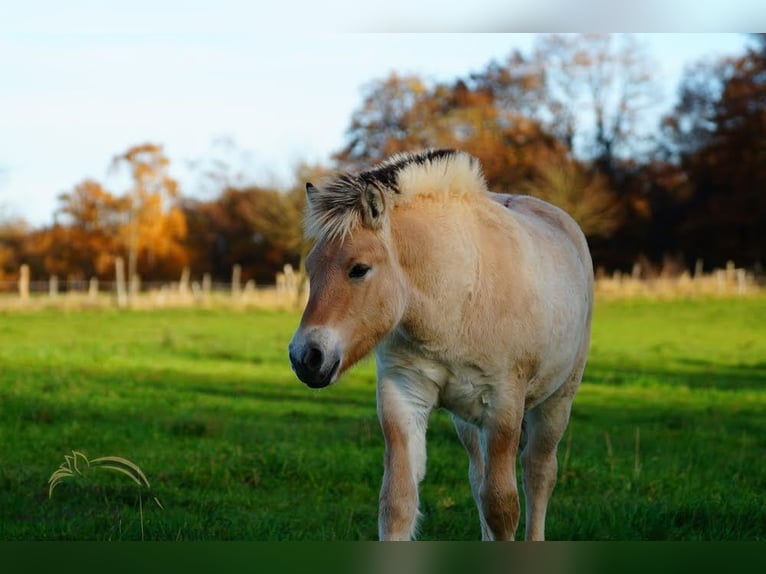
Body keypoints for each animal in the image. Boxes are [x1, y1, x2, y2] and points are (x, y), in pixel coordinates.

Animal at [288, 149, 593, 541]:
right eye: (310, 268)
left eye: (359, 268)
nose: (306, 357)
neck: (455, 298)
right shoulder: (402, 397)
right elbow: (398, 503)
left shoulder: (504, 406)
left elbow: (502, 506)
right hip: (468, 421)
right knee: (478, 478)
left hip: (556, 402)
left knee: (538, 474)